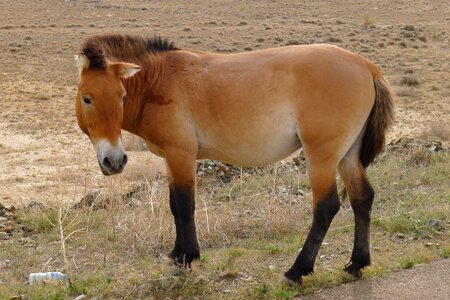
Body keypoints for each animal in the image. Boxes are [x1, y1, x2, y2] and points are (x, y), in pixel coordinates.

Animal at [75, 34, 392, 284]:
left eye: (121, 96)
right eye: (87, 98)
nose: (114, 161)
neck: (160, 80)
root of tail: (366, 66)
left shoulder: (181, 154)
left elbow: (184, 205)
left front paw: (188, 257)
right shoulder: (170, 159)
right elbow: (174, 205)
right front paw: (177, 254)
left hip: (321, 156)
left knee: (326, 207)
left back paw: (297, 271)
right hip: (347, 156)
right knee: (362, 197)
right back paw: (357, 263)